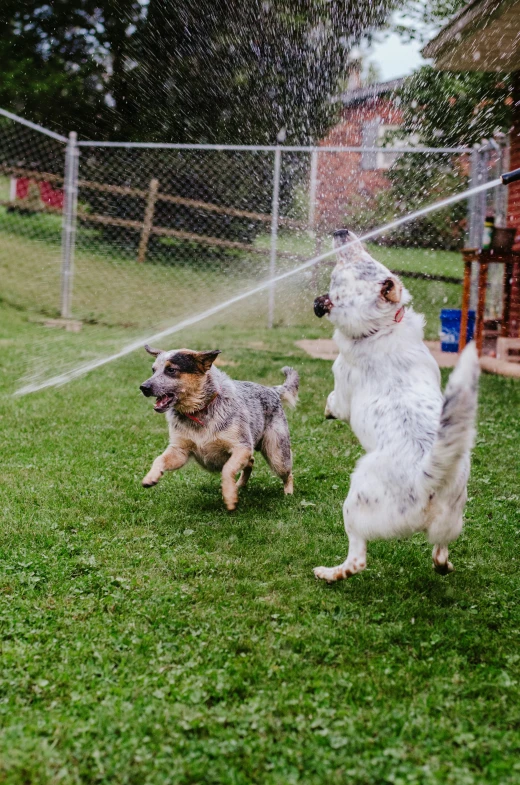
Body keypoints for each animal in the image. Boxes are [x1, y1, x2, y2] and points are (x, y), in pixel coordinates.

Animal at [140, 348, 298, 508]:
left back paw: (288, 494)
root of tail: (273, 391)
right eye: (153, 370)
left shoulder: (241, 447)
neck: (199, 412)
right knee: (251, 461)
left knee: (288, 473)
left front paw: (229, 497)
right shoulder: (180, 450)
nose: (143, 387)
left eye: (171, 370)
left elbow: (227, 469)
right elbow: (159, 459)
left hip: (277, 455)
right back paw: (239, 484)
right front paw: (150, 477)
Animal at [312, 230, 480, 580]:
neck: (382, 328)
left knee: (357, 559)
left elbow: (334, 401)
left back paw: (329, 573)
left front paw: (327, 411)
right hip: (452, 519)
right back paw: (443, 564)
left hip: (354, 502)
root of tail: (426, 476)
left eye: (340, 276)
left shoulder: (342, 389)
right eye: (374, 263)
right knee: (440, 553)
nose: (341, 232)